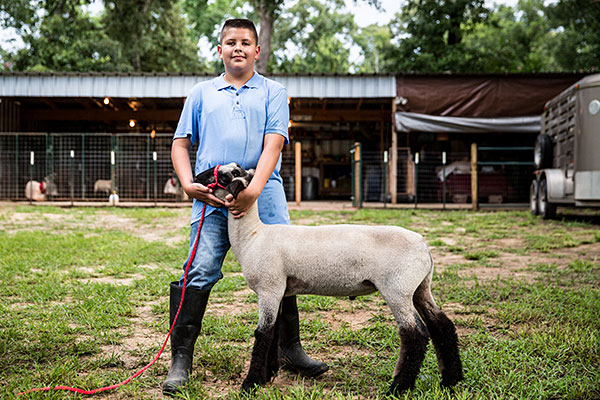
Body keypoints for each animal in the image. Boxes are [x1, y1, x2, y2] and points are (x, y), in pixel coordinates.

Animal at [195, 163, 462, 396]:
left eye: (227, 175)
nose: (196, 177)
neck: (253, 236)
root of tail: (424, 246)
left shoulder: (269, 287)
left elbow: (263, 334)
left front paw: (250, 384)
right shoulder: (279, 290)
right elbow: (274, 332)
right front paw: (267, 376)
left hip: (398, 289)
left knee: (414, 335)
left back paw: (398, 388)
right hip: (420, 288)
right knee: (442, 326)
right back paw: (452, 381)